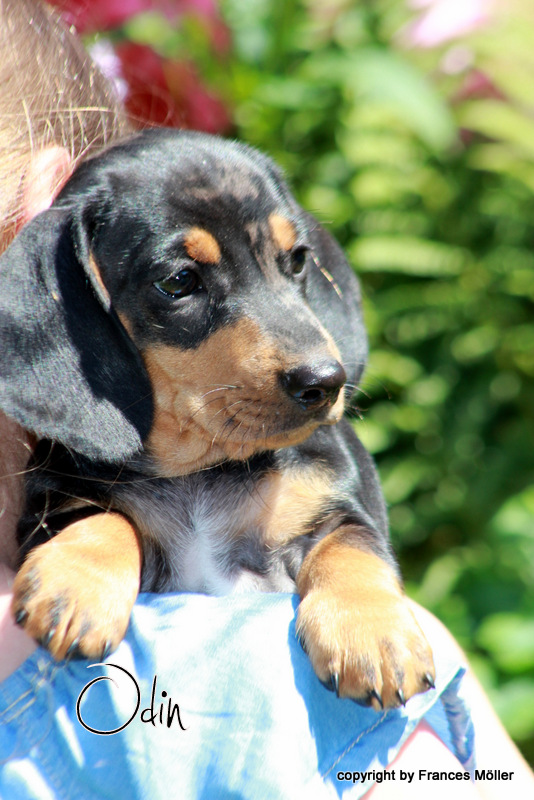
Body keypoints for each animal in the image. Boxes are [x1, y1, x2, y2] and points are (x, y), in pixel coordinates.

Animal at [0, 129, 434, 709]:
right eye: (179, 281)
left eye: (297, 260)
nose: (326, 381)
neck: (201, 469)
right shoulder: (52, 504)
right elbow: (103, 517)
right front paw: (76, 581)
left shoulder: (333, 508)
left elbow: (352, 549)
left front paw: (373, 633)